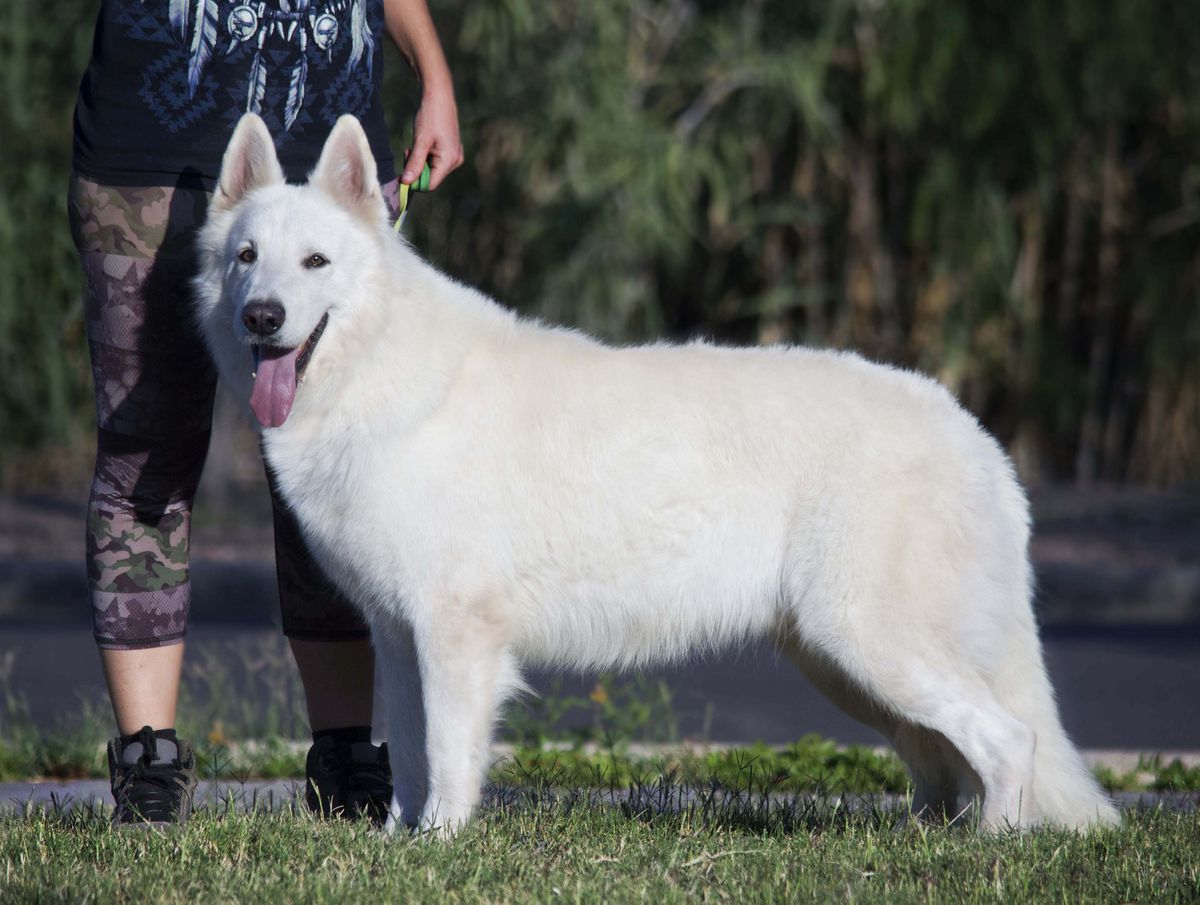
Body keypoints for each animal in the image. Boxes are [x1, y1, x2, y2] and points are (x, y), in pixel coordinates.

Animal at [192, 112, 1118, 830]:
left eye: (315, 262)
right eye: (246, 256)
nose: (262, 316)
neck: (377, 373)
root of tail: (977, 438)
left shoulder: (455, 635)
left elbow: (451, 758)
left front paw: (441, 847)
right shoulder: (397, 633)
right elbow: (412, 758)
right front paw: (397, 846)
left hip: (868, 643)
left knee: (1008, 740)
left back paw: (992, 847)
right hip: (844, 664)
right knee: (941, 761)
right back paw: (930, 840)